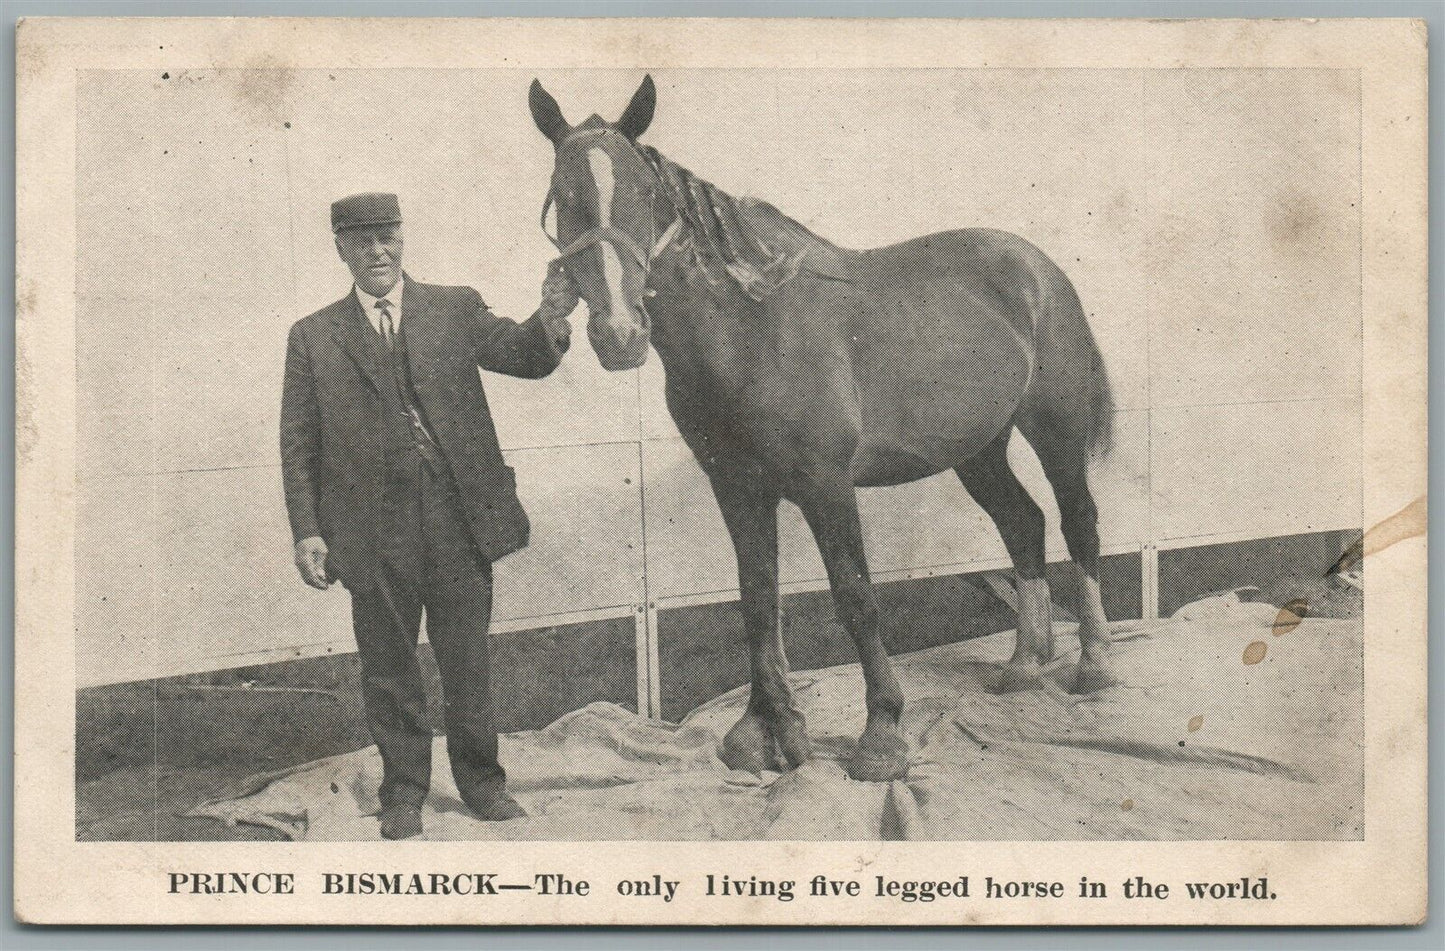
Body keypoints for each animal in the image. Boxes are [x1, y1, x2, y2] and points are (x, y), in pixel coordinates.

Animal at [529, 75, 1117, 783]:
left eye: (643, 191)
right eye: (563, 194)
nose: (620, 334)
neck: (752, 331)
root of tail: (1039, 269)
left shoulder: (826, 484)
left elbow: (855, 596)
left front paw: (881, 735)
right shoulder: (737, 488)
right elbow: (758, 599)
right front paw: (764, 733)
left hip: (1053, 430)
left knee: (1078, 519)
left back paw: (1094, 664)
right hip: (978, 449)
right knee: (1022, 523)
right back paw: (1025, 665)